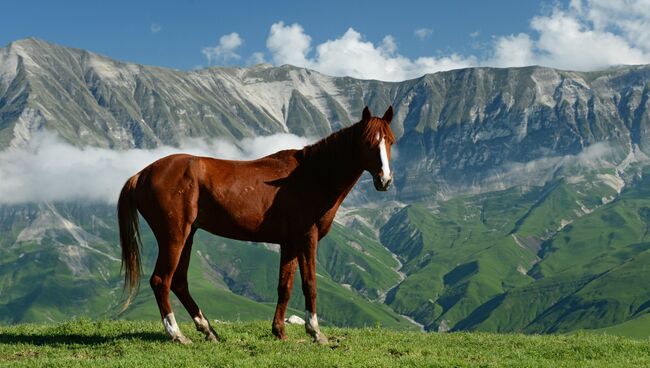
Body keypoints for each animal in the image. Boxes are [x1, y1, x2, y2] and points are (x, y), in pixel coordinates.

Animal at [117, 105, 394, 344]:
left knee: (178, 282)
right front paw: (316, 332)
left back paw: (208, 330)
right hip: (174, 236)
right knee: (161, 281)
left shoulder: (289, 243)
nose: (385, 180)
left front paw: (279, 331)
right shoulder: (308, 237)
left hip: (188, 235)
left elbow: (285, 286)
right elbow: (310, 285)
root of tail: (141, 174)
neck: (312, 175)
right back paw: (177, 334)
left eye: (390, 141)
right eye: (369, 142)